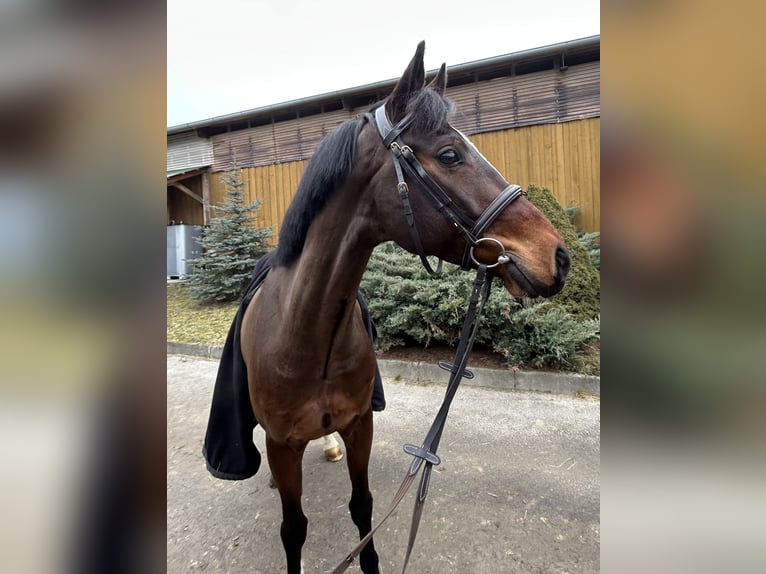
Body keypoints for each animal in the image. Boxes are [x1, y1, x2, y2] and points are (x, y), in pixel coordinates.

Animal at [240, 42, 568, 572]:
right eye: (451, 154)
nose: (558, 256)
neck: (307, 335)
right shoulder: (282, 445)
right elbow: (294, 529)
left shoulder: (361, 427)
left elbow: (363, 507)